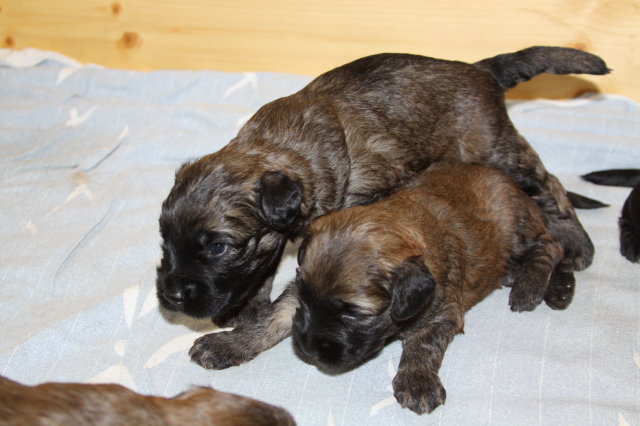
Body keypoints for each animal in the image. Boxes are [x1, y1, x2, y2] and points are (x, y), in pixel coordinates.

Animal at [155, 47, 607, 369]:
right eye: (165, 240)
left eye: (217, 247)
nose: (170, 296)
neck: (286, 151)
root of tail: (479, 69)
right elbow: (263, 274)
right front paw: (242, 317)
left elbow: (282, 301)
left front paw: (233, 339)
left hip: (496, 150)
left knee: (551, 191)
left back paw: (573, 257)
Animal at [291, 163, 575, 414]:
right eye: (303, 297)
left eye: (353, 314)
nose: (307, 348)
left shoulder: (441, 312)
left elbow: (423, 344)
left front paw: (417, 384)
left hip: (517, 227)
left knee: (551, 246)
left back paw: (530, 287)